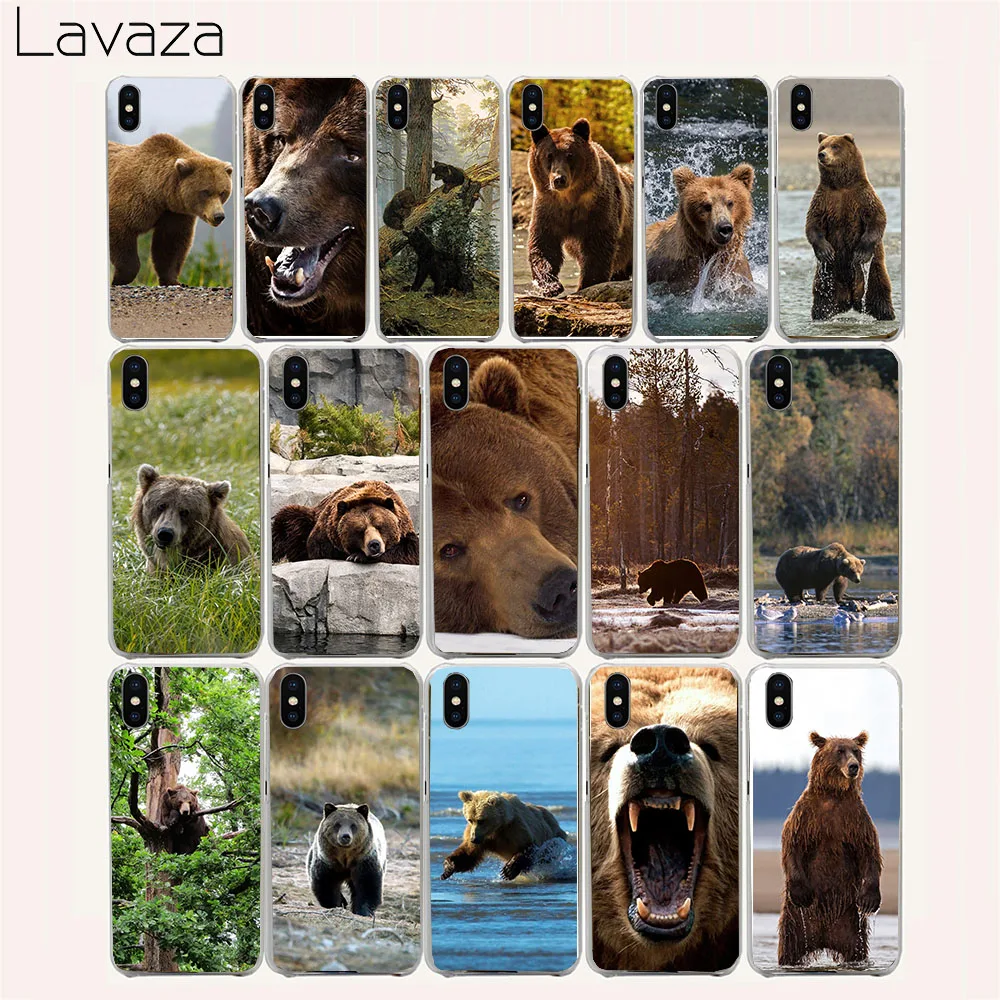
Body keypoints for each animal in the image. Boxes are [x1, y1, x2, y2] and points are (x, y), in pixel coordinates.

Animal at [107, 134, 233, 286]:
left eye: (223, 192)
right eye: (205, 192)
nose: (218, 216)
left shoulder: (174, 213)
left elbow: (170, 243)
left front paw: (173, 280)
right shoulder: (131, 199)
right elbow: (120, 231)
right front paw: (119, 278)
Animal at [271, 480, 418, 565]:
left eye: (380, 526)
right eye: (360, 530)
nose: (374, 545)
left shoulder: (405, 527)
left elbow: (411, 549)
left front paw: (358, 556)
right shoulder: (325, 530)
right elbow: (318, 547)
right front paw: (355, 555)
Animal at [527, 118, 634, 297]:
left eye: (570, 155)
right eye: (549, 155)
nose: (559, 179)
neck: (569, 198)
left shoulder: (598, 207)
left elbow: (597, 246)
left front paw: (587, 283)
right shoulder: (548, 208)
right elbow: (544, 244)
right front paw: (551, 286)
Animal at [778, 731, 882, 966]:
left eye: (856, 751)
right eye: (839, 750)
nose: (853, 766)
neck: (834, 794)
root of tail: (824, 938)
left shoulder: (855, 819)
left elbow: (869, 850)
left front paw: (870, 899)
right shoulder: (806, 816)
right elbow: (793, 844)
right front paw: (802, 893)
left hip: (851, 927)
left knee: (857, 951)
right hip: (796, 924)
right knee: (789, 950)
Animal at [805, 133, 895, 322]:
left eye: (835, 146)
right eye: (822, 146)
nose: (822, 155)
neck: (841, 185)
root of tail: (851, 300)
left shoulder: (863, 196)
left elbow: (877, 219)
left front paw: (860, 253)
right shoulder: (823, 200)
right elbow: (813, 225)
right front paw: (826, 251)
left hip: (874, 272)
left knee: (880, 295)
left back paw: (887, 315)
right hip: (827, 278)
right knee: (821, 299)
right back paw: (820, 316)